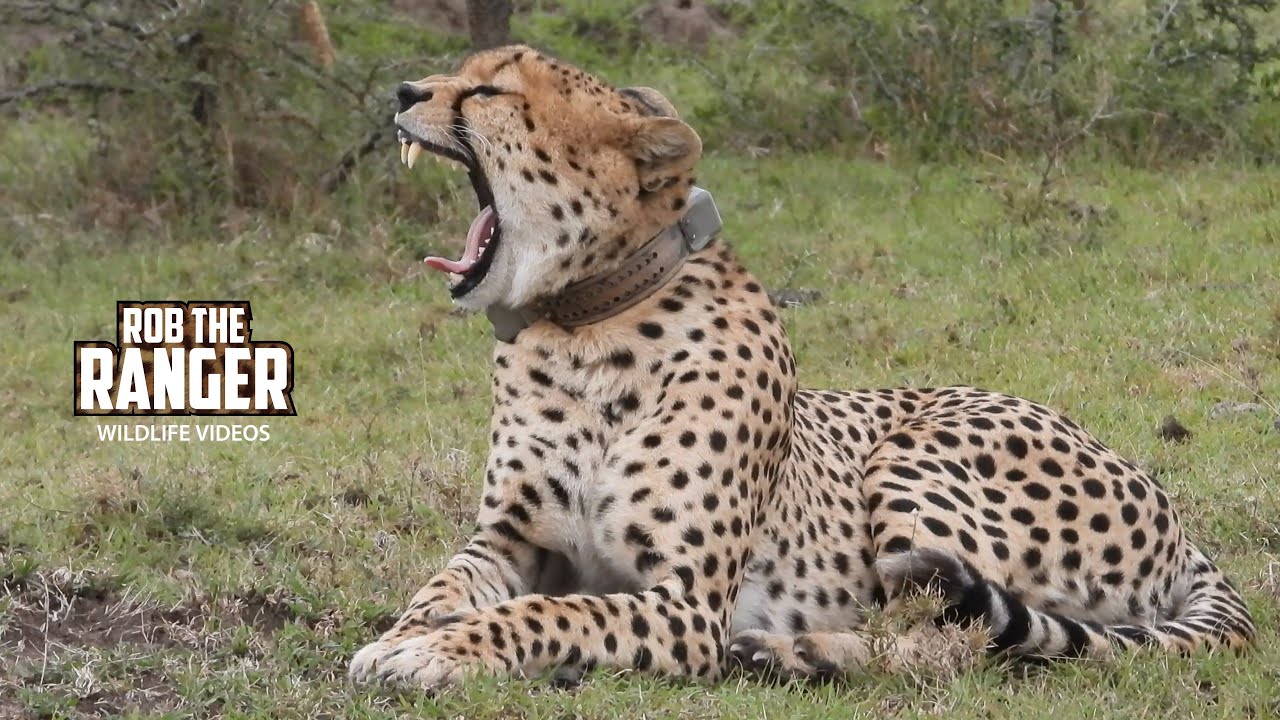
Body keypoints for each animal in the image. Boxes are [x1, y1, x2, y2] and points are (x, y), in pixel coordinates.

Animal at [348, 45, 1256, 689]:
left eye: (490, 92)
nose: (402, 91)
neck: (582, 328)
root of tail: (1170, 512)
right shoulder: (509, 541)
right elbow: (441, 586)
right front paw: (403, 637)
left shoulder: (685, 605)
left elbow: (544, 613)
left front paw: (440, 652)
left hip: (916, 461)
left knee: (951, 641)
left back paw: (791, 653)